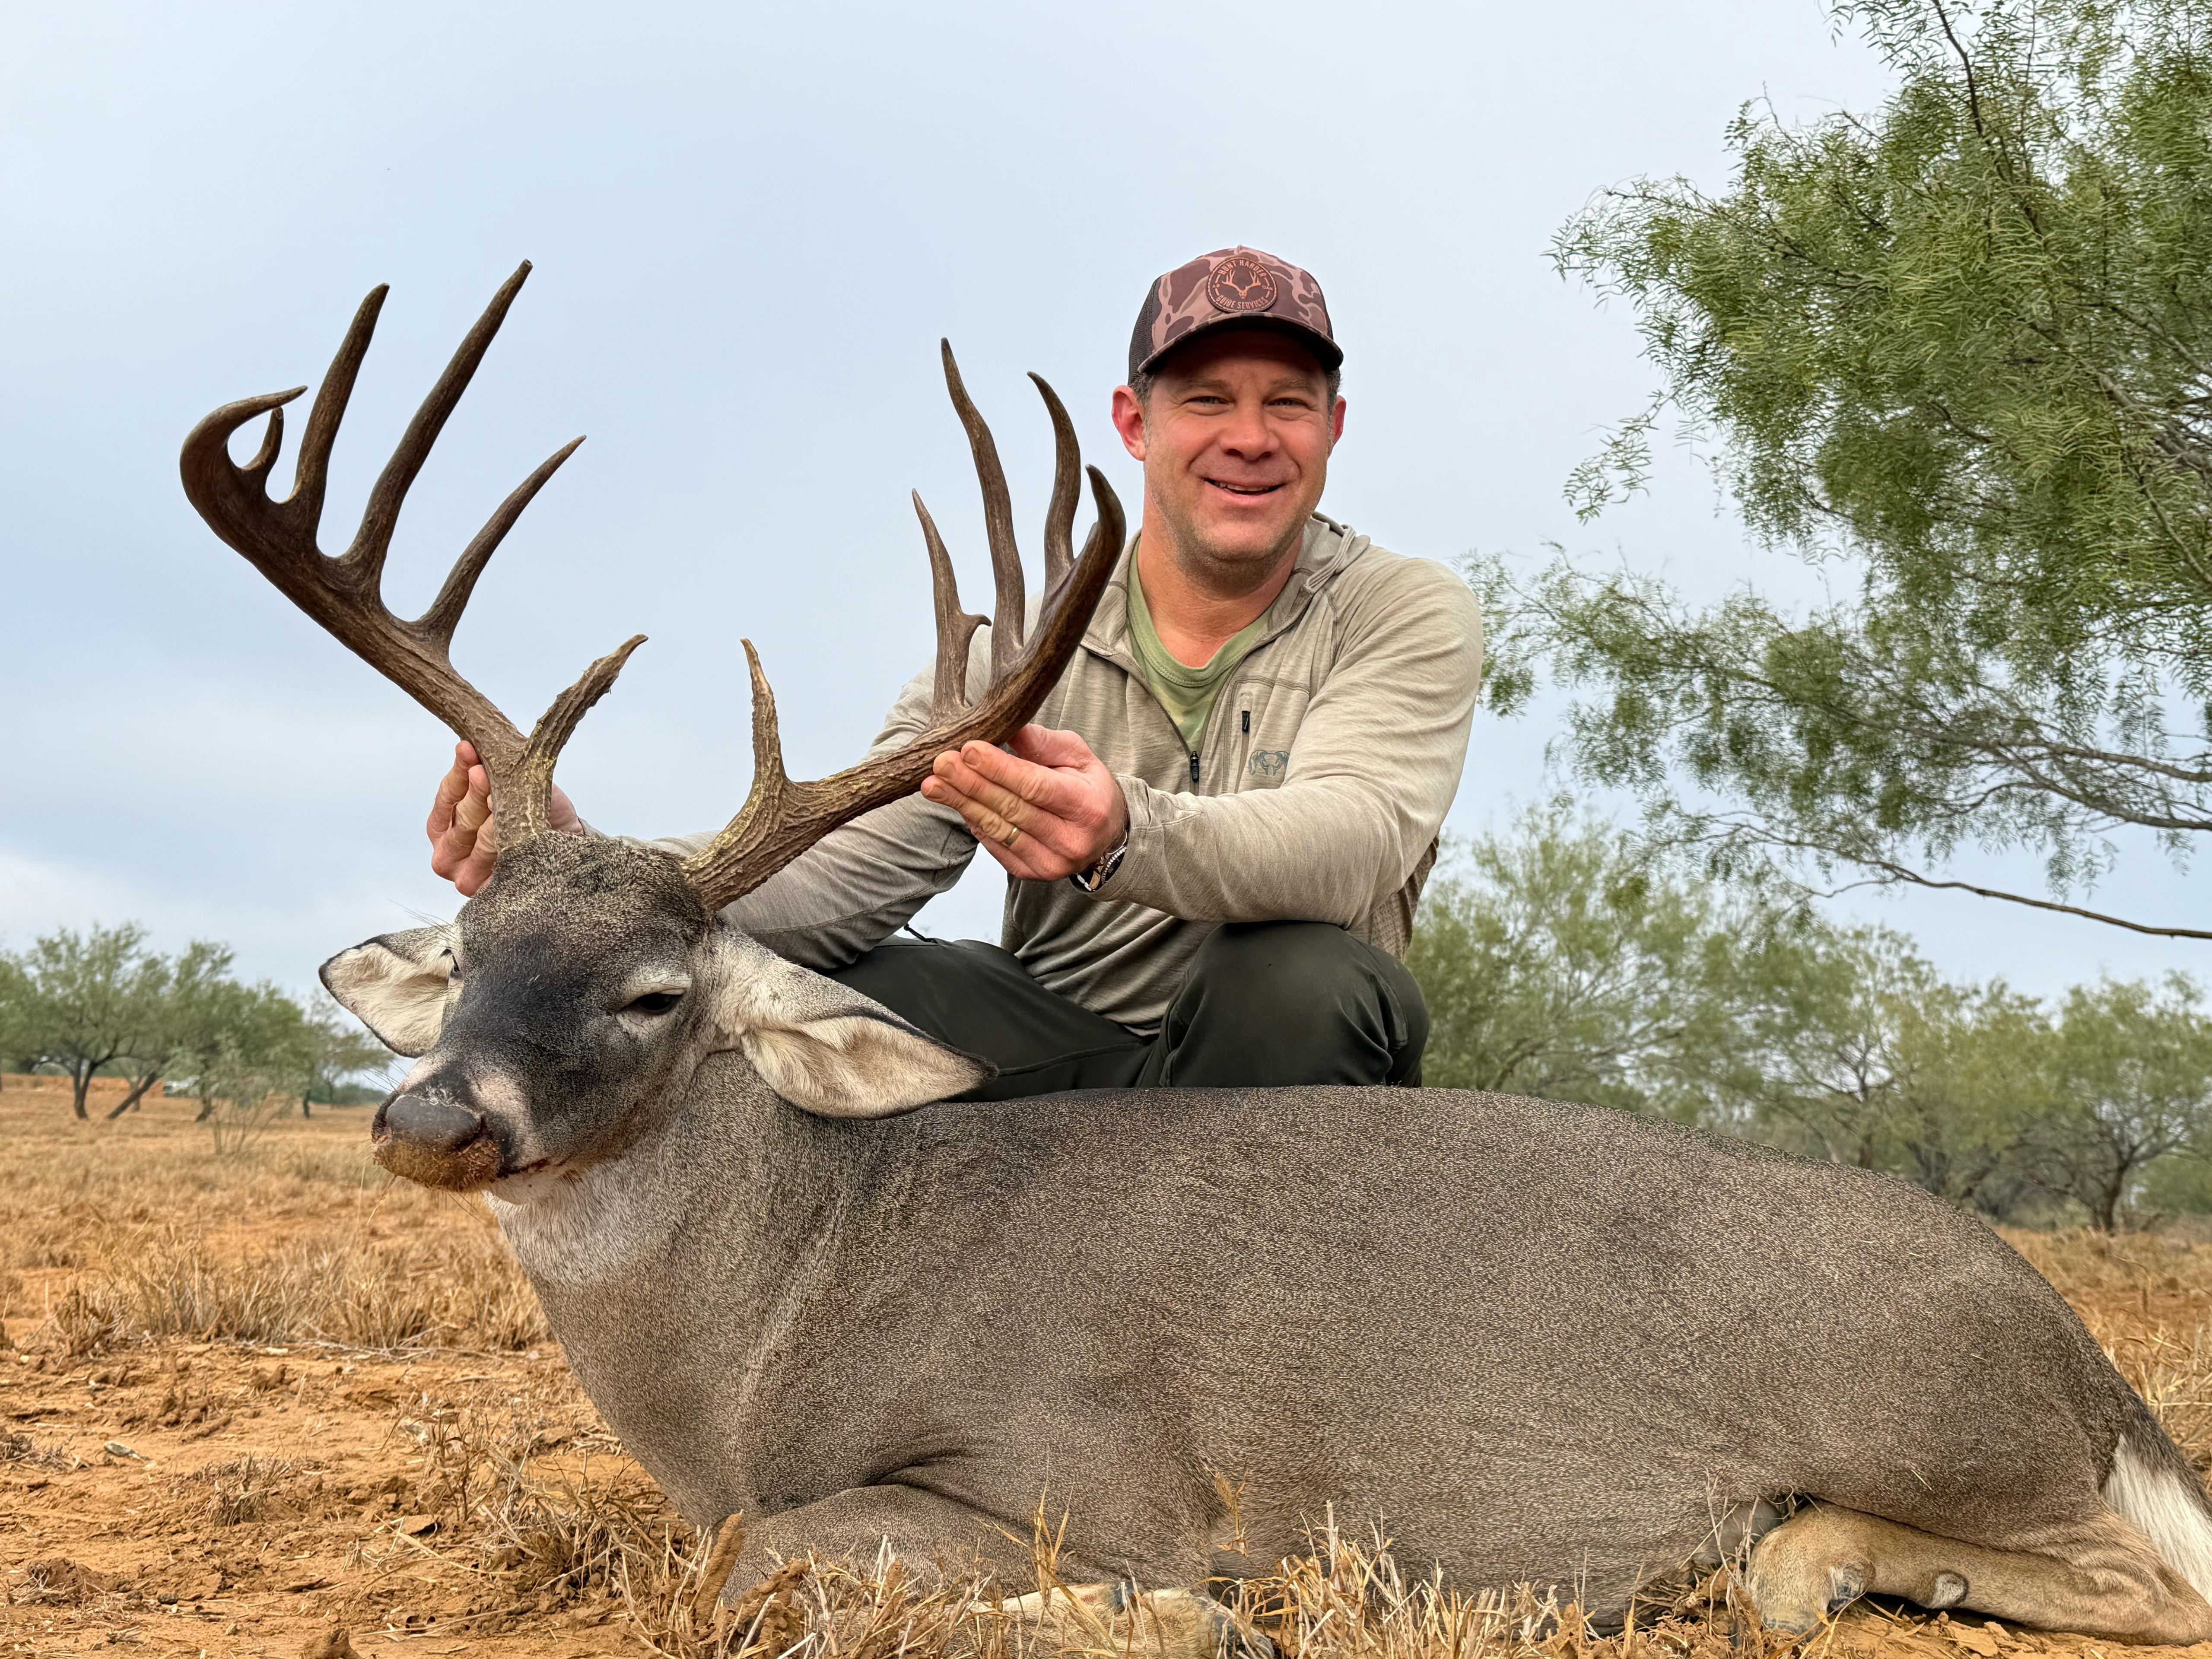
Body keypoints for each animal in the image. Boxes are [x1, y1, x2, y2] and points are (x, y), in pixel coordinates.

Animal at [180, 264, 2212, 1651]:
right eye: (469, 939)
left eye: (656, 992)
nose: (432, 1119)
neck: (760, 1349)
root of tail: (2081, 1358)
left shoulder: (1082, 1467)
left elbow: (784, 1566)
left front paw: (1194, 1611)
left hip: (1932, 1418)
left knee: (2126, 1577)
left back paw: (1791, 1561)